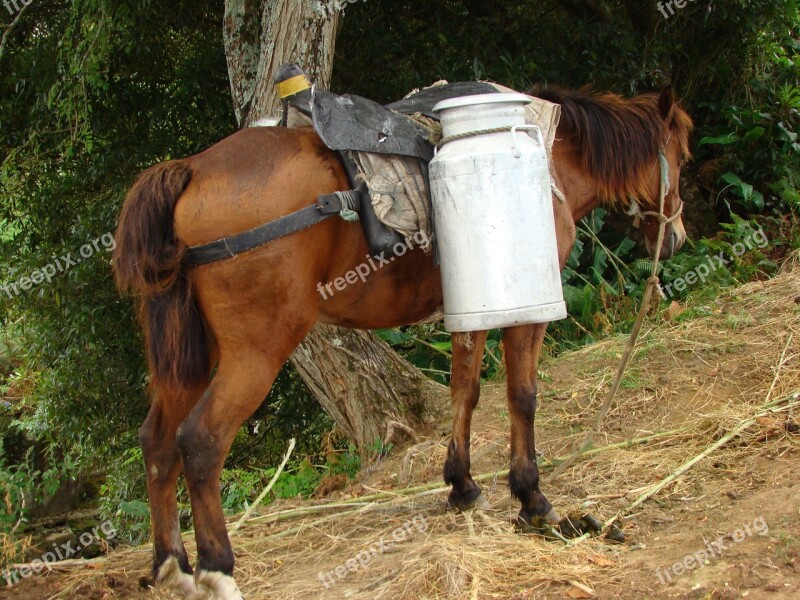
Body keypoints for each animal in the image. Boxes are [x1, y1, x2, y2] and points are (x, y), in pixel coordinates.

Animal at [114, 86, 692, 596]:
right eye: (682, 154)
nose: (678, 236)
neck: (546, 155)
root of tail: (191, 169)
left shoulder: (472, 307)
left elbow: (465, 392)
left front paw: (461, 485)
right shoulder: (528, 308)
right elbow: (521, 397)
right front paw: (532, 498)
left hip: (188, 358)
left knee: (156, 441)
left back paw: (171, 565)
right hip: (255, 351)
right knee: (201, 442)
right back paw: (218, 569)